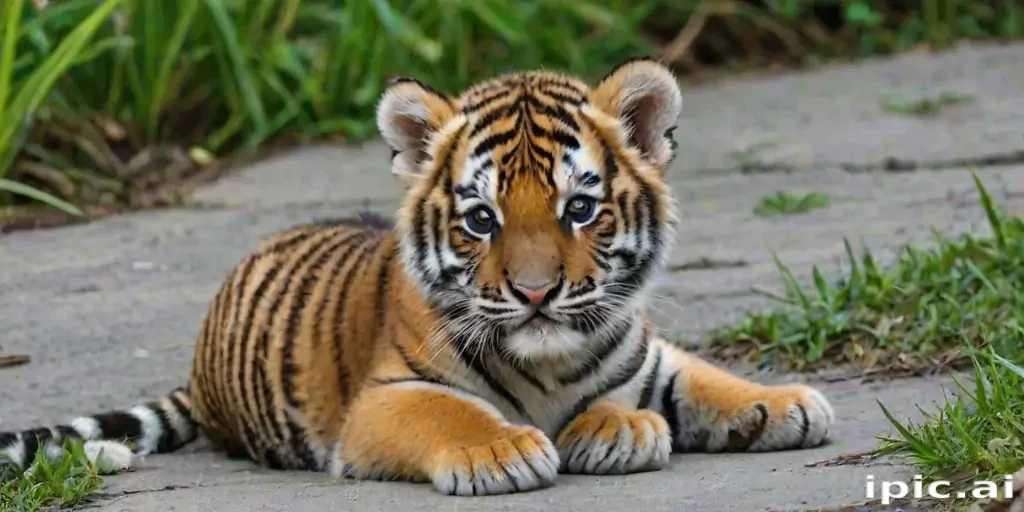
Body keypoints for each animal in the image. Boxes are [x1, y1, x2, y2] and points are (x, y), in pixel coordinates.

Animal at [1, 59, 834, 496]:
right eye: (481, 219)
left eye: (579, 208)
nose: (536, 293)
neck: (551, 364)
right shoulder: (381, 402)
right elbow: (450, 414)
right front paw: (505, 451)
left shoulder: (645, 351)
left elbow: (699, 376)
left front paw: (775, 404)